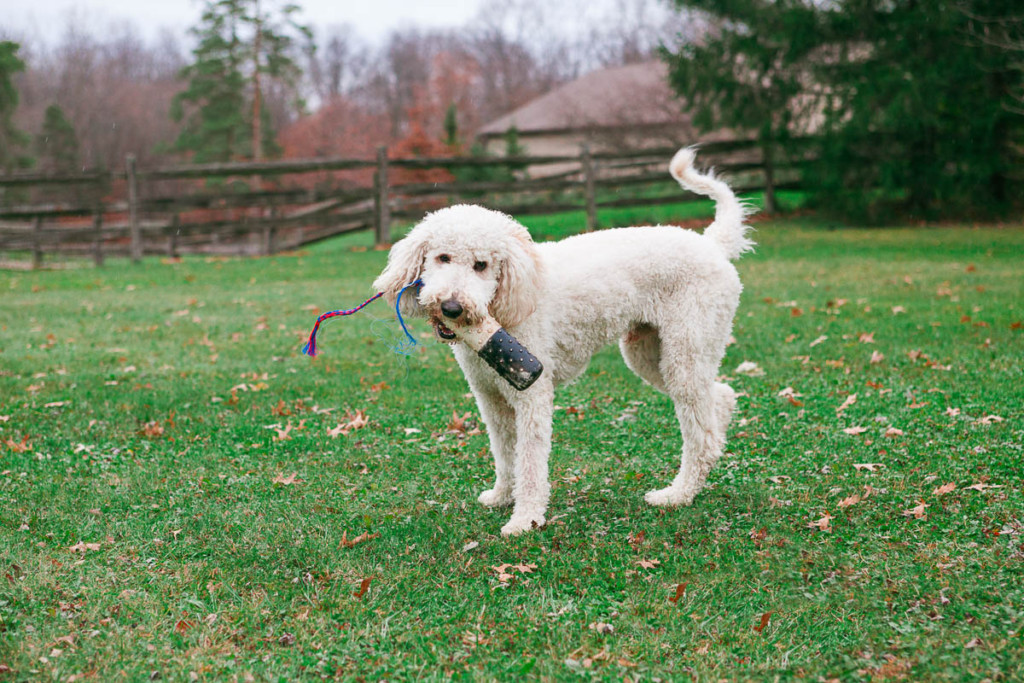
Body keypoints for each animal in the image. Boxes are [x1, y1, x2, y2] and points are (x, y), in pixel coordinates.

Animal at [376, 148, 753, 532]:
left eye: (481, 265)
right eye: (442, 257)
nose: (451, 307)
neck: (506, 302)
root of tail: (711, 244)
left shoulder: (532, 396)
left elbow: (529, 463)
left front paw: (524, 519)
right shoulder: (492, 399)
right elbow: (505, 453)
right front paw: (502, 496)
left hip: (684, 352)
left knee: (699, 432)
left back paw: (678, 494)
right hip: (650, 354)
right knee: (718, 398)